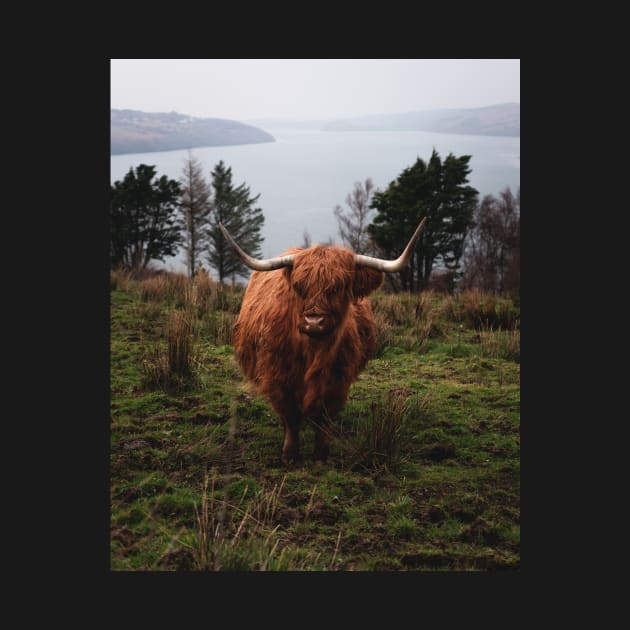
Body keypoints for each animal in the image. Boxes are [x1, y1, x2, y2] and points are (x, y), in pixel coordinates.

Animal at [220, 220, 428, 466]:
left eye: (338, 287)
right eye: (299, 287)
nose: (314, 321)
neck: (313, 351)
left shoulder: (337, 381)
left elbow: (323, 418)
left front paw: (321, 454)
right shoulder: (279, 378)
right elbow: (291, 416)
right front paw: (290, 454)